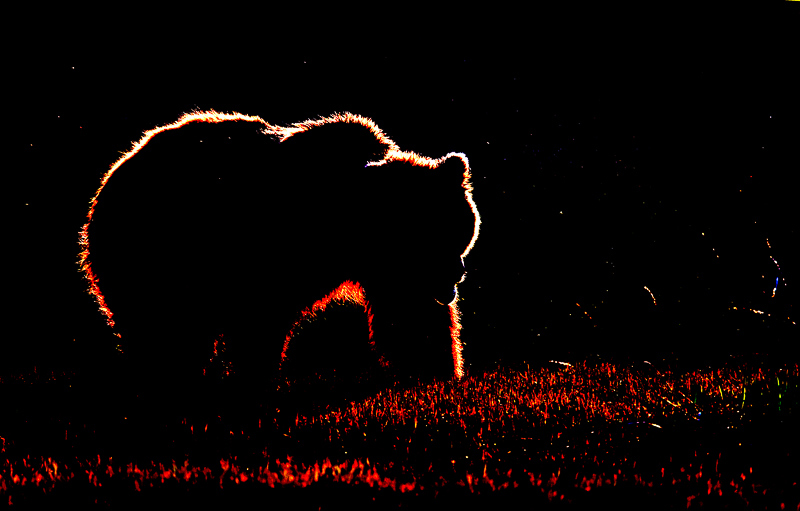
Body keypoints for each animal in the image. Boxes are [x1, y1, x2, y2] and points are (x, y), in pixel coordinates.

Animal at [79, 112, 482, 392]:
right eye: (433, 231)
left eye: (459, 227)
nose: (456, 274)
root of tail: (120, 165)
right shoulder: (267, 252)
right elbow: (260, 318)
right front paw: (258, 376)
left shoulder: (391, 273)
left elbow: (412, 317)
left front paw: (436, 374)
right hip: (151, 252)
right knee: (161, 326)